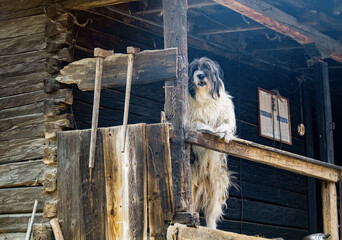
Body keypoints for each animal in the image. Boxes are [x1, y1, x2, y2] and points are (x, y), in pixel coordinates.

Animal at [188, 56, 236, 229]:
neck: (205, 98)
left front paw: (224, 133)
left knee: (211, 213)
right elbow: (198, 124)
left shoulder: (225, 112)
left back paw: (211, 228)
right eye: (195, 68)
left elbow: (226, 123)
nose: (200, 75)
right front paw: (207, 129)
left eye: (207, 68)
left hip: (216, 186)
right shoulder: (192, 119)